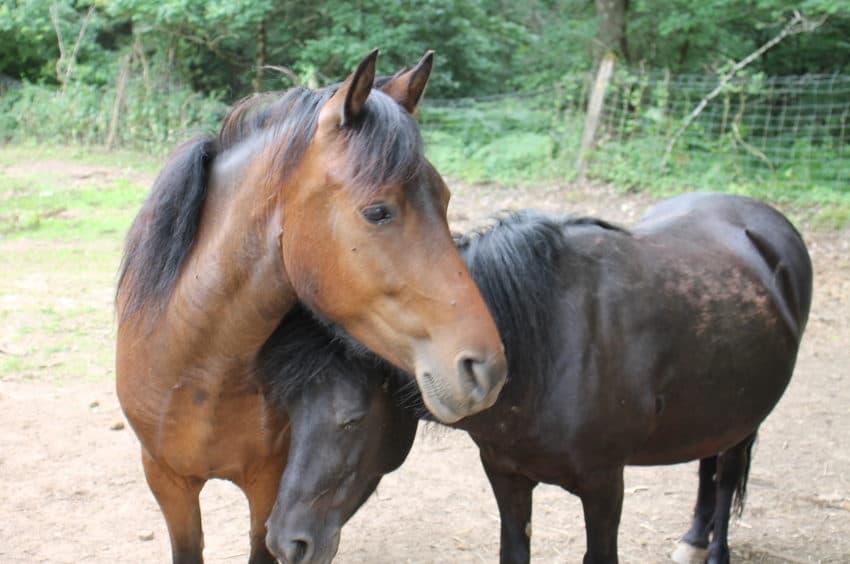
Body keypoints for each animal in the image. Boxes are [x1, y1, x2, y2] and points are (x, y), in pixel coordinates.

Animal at [114, 50, 507, 564]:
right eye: (377, 211)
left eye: (444, 200)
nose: (485, 367)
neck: (196, 370)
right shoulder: (167, 481)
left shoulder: (269, 487)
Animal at [261, 193, 813, 564]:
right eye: (288, 416)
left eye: (351, 420)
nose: (287, 542)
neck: (546, 348)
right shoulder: (506, 474)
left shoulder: (604, 485)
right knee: (707, 466)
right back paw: (693, 541)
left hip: (745, 418)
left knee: (725, 477)